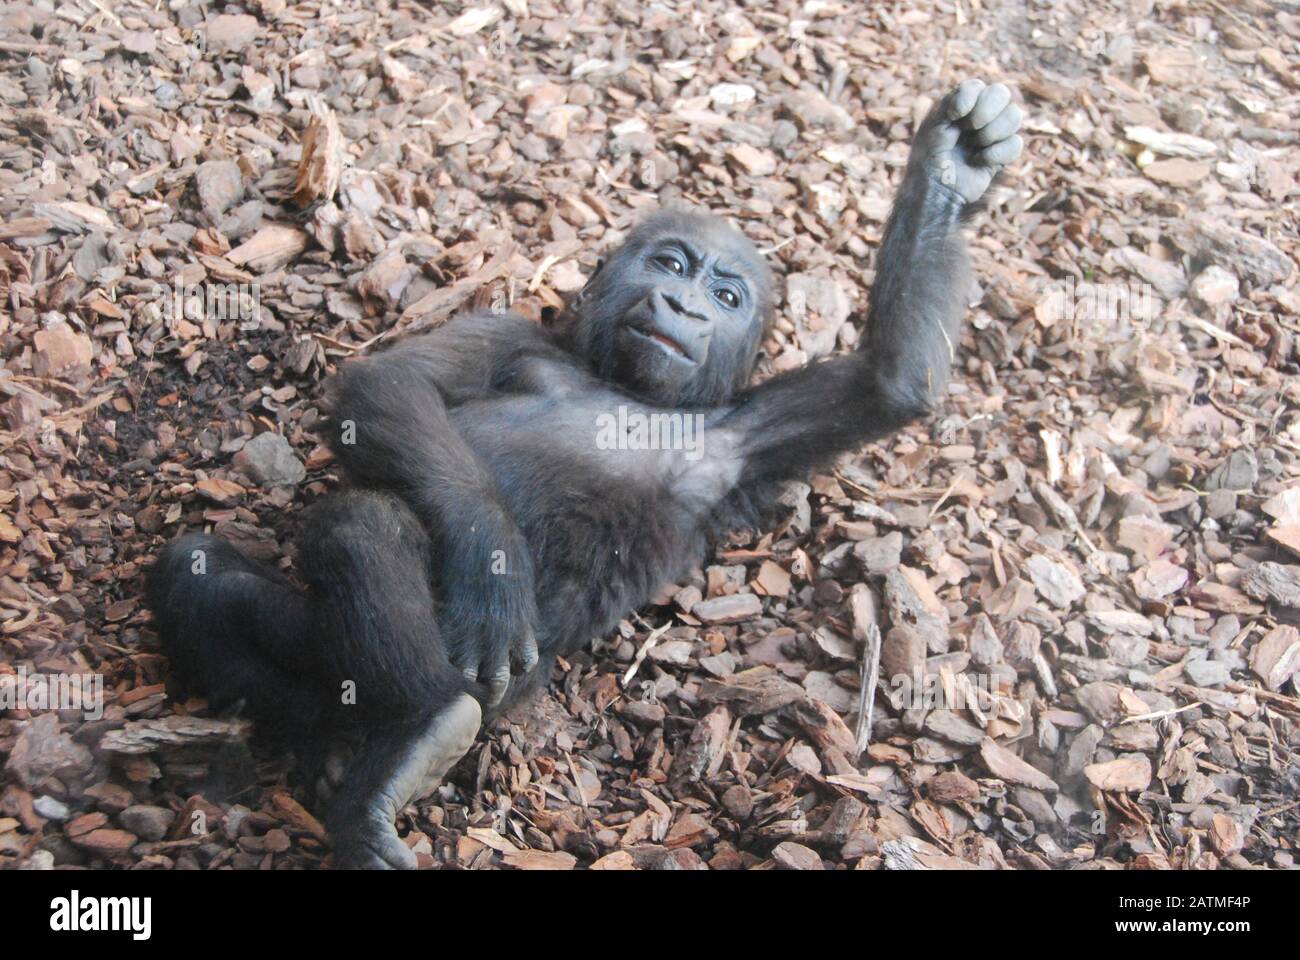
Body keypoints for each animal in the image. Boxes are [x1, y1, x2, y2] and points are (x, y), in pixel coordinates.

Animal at [149, 78, 1024, 863]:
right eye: (672, 263)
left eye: (727, 295)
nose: (684, 306)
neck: (622, 383)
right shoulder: (507, 333)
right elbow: (390, 385)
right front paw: (492, 563)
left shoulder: (749, 438)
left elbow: (892, 380)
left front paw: (951, 171)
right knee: (207, 575)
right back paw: (377, 740)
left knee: (352, 530)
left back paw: (409, 738)